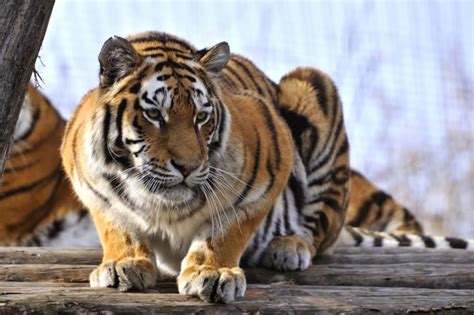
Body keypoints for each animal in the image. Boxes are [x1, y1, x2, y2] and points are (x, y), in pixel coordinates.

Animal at [61, 31, 472, 304]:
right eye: (154, 114)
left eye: (201, 117)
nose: (188, 167)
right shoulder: (90, 184)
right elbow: (117, 224)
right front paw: (123, 264)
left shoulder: (271, 161)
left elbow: (226, 229)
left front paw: (212, 272)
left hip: (313, 85)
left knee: (318, 230)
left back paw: (288, 247)